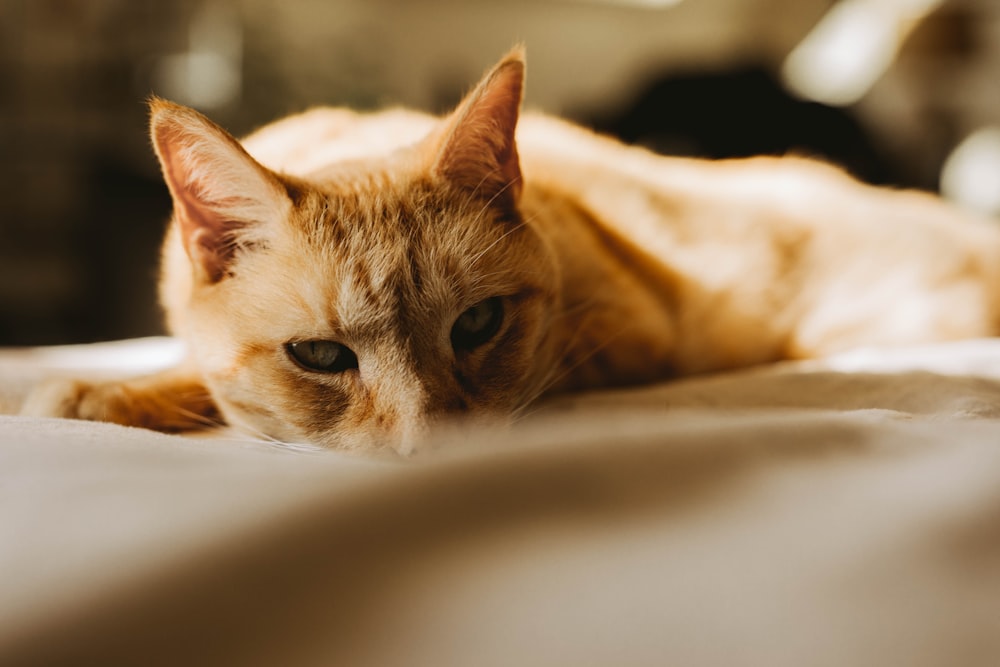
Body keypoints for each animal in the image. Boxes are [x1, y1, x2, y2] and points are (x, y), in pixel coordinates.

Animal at [19, 48, 1000, 454]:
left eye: (479, 324)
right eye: (322, 356)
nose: (436, 442)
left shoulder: (615, 338)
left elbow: (192, 384)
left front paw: (96, 393)